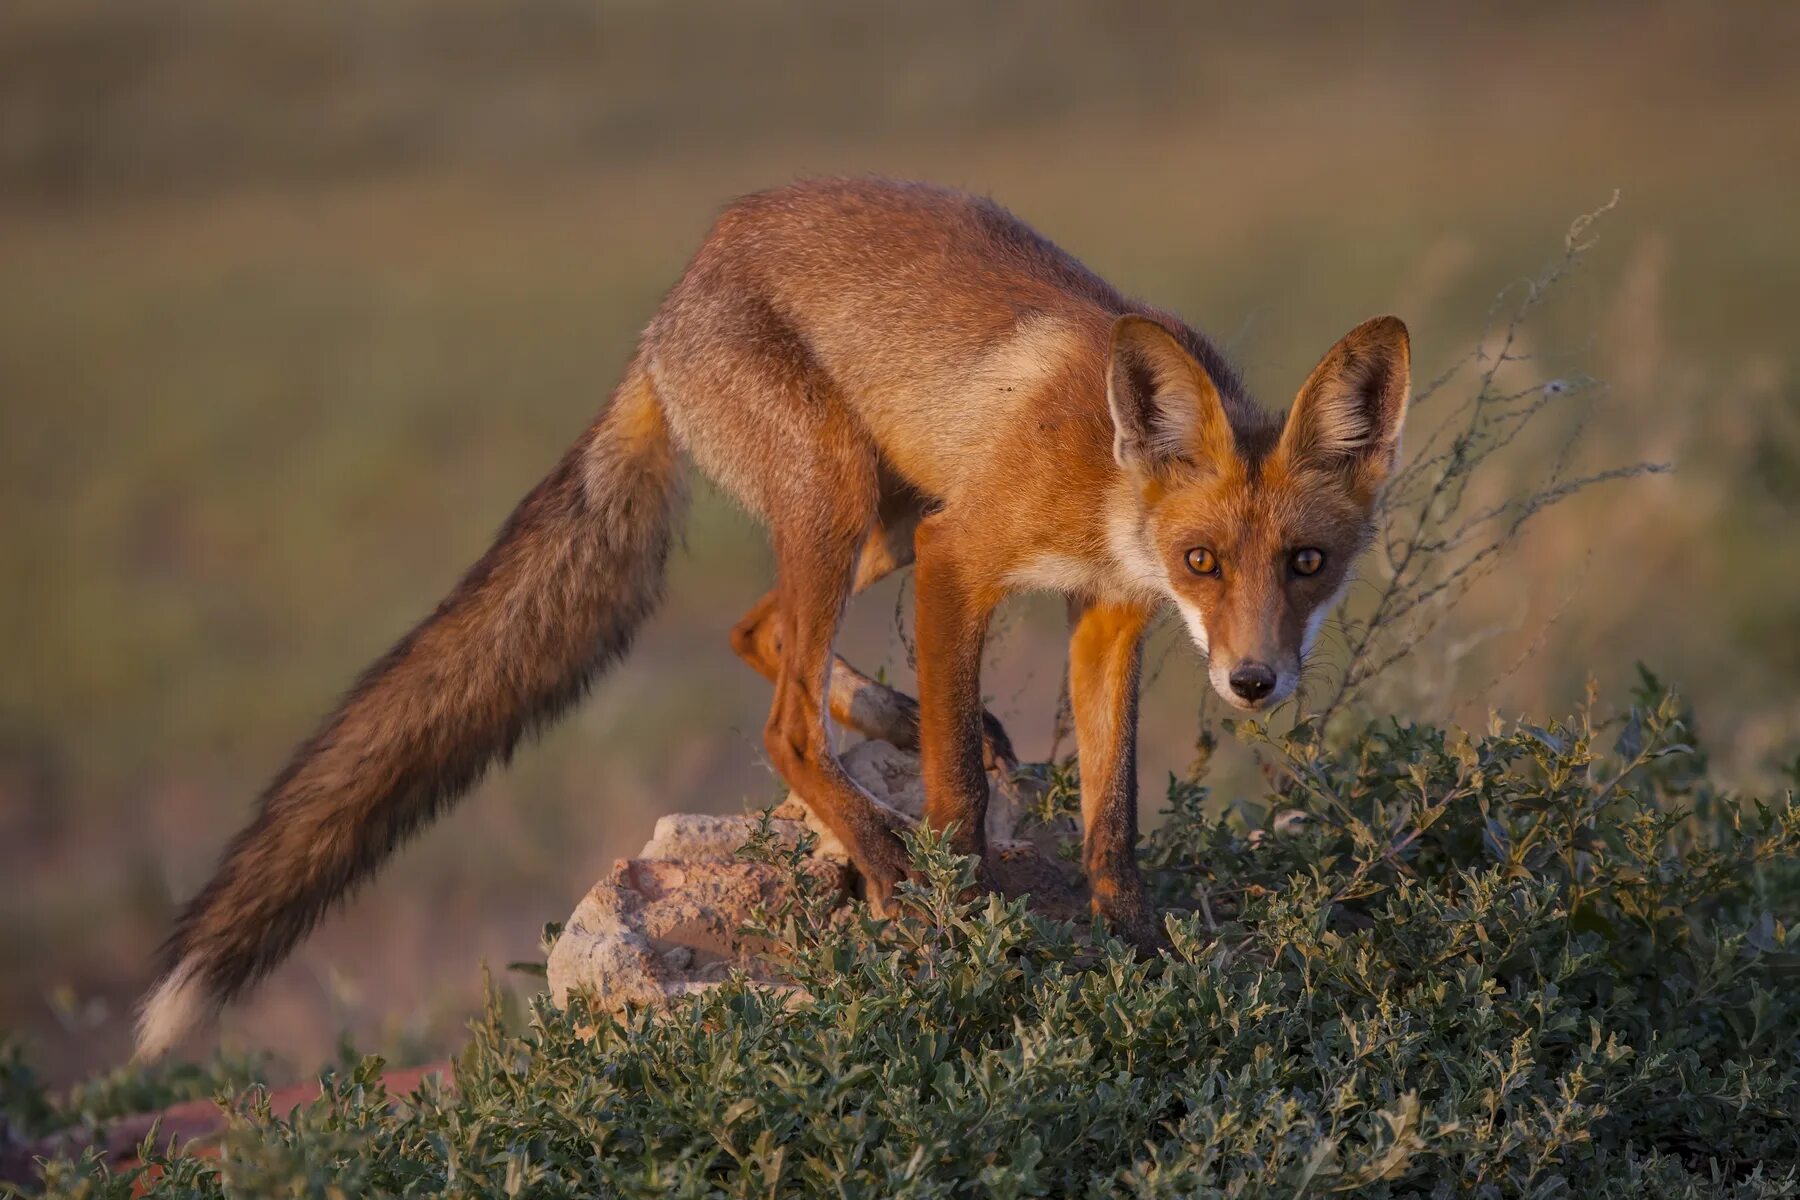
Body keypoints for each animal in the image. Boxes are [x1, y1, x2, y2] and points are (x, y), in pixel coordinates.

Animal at [133, 178, 1411, 1057]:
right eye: (1204, 560)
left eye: (1306, 564)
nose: (1253, 683)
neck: (1105, 480)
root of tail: (676, 293)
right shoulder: (960, 560)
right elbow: (958, 792)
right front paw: (961, 919)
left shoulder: (1106, 616)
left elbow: (1113, 819)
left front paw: (1142, 947)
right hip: (848, 498)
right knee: (783, 724)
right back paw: (882, 856)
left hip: (879, 514)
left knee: (756, 635)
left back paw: (879, 721)